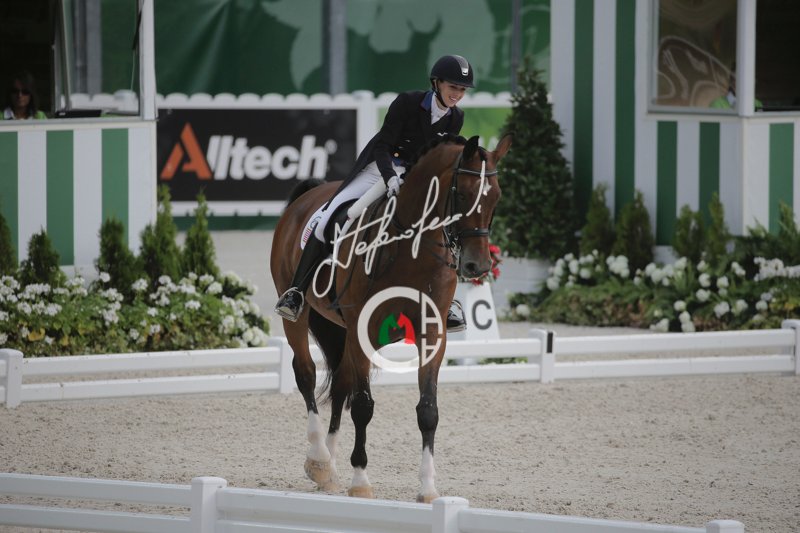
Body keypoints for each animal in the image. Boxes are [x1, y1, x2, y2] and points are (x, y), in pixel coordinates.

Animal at [270, 133, 512, 502]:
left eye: (496, 197)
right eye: (464, 195)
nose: (478, 266)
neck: (414, 246)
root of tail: (306, 197)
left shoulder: (431, 334)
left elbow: (428, 410)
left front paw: (428, 489)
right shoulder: (362, 329)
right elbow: (363, 406)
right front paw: (360, 482)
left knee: (340, 383)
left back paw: (330, 471)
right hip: (298, 314)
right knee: (307, 375)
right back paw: (320, 460)